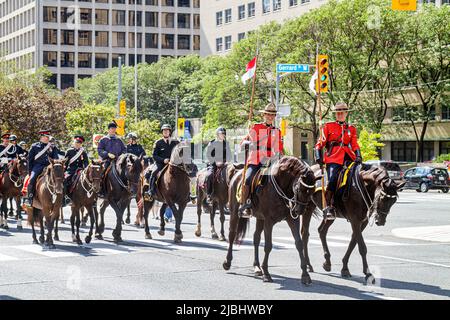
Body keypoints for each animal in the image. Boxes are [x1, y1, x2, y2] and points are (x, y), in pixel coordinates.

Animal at [223, 156, 318, 284]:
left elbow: (299, 243)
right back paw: (227, 262)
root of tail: (237, 173)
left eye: (312, 191)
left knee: (256, 238)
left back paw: (257, 267)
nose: (300, 210)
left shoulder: (292, 220)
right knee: (232, 235)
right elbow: (268, 246)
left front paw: (305, 275)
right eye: (299, 188)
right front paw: (267, 273)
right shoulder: (269, 221)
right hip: (234, 211)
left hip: (260, 218)